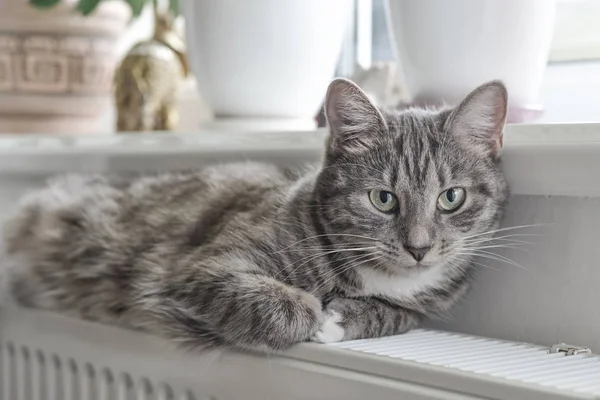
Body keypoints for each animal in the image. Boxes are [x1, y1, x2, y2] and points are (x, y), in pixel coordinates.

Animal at [5, 78, 510, 354]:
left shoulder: (427, 302)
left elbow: (402, 313)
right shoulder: (203, 267)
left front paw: (346, 317)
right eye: (382, 198)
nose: (419, 248)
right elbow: (279, 302)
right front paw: (312, 312)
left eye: (452, 197)